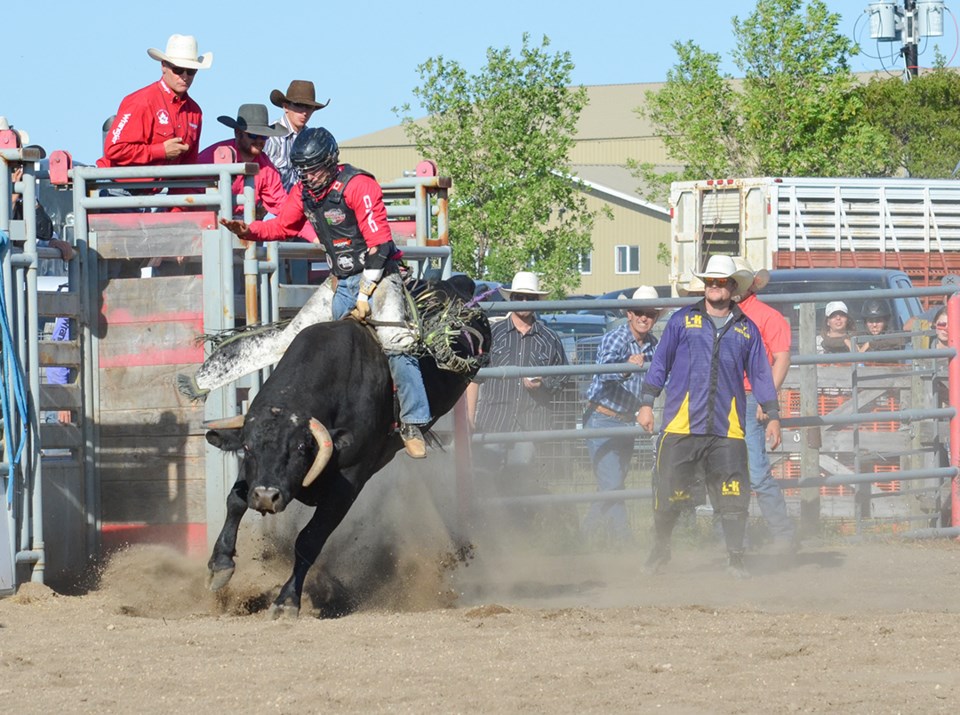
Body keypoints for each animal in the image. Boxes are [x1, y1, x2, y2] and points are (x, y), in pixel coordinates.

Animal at [185, 276, 492, 620]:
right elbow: (235, 501)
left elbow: (309, 539)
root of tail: (456, 283)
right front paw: (220, 565)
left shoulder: (348, 483)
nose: (266, 496)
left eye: (301, 447)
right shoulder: (254, 473)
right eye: (249, 448)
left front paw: (287, 601)